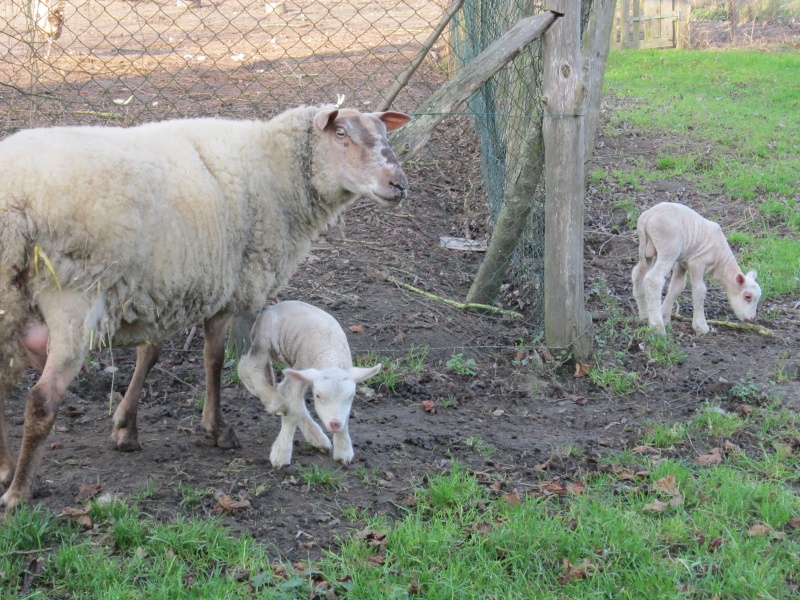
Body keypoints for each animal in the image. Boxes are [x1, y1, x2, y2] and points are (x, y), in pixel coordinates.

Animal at [238, 300, 382, 468]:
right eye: (318, 396)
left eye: (351, 397)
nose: (334, 424)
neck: (330, 356)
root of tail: (271, 308)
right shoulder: (301, 371)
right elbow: (293, 412)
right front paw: (281, 454)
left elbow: (345, 417)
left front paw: (343, 450)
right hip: (264, 340)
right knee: (246, 367)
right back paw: (275, 403)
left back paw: (317, 437)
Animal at [632, 200, 764, 332]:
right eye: (747, 296)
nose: (751, 319)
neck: (721, 261)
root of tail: (648, 215)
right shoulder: (697, 263)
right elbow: (700, 290)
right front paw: (701, 327)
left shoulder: (682, 262)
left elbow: (677, 286)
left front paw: (665, 316)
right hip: (668, 247)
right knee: (654, 279)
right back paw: (657, 326)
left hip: (646, 249)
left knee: (638, 273)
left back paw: (644, 315)